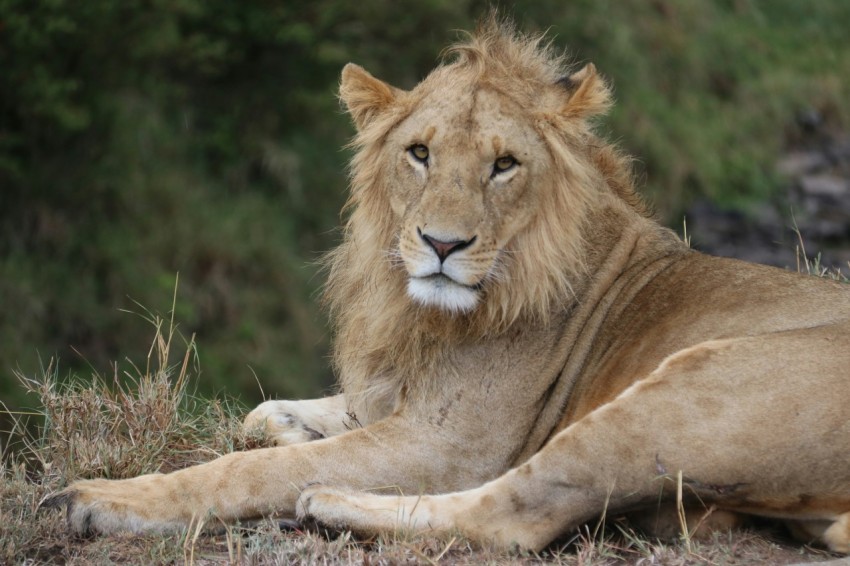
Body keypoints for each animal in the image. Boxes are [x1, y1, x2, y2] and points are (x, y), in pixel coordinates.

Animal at [43, 18, 850, 553]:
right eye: (419, 154)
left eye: (504, 165)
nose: (441, 244)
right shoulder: (398, 400)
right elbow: (263, 416)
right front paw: (296, 423)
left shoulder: (455, 445)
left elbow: (250, 467)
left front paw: (105, 499)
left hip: (693, 383)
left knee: (519, 514)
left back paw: (327, 503)